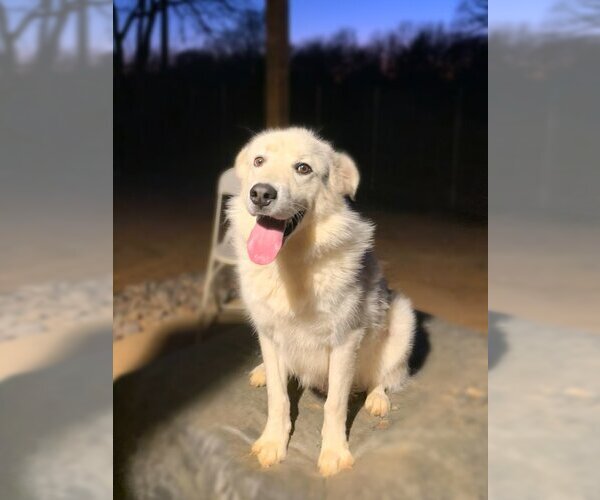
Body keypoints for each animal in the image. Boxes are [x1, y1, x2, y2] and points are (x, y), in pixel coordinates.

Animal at [227, 126, 414, 476]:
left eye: (303, 168)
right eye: (259, 161)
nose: (260, 194)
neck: (291, 264)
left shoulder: (344, 341)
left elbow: (334, 405)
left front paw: (334, 452)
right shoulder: (269, 335)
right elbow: (278, 398)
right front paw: (274, 441)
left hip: (402, 316)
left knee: (384, 376)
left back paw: (377, 398)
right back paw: (261, 371)